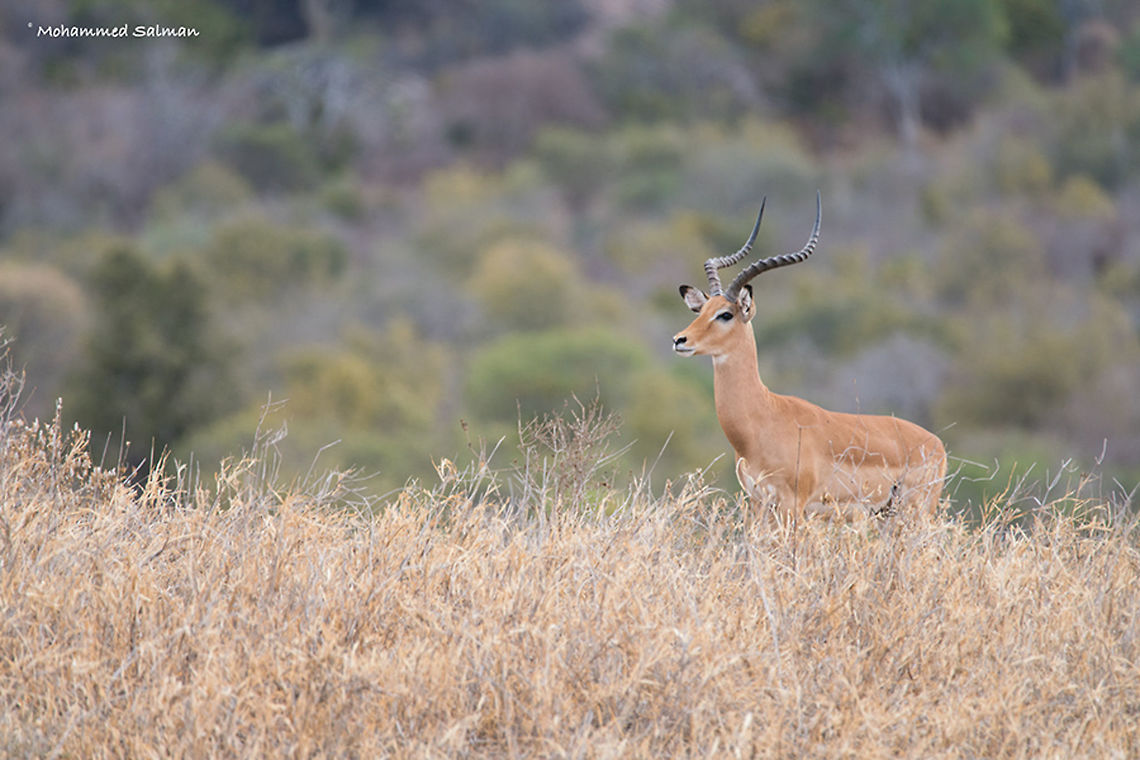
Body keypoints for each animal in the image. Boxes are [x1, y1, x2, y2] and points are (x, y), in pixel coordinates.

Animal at [672, 193, 946, 523]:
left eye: (725, 314)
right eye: (701, 311)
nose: (679, 340)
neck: (764, 415)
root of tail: (937, 444)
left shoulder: (793, 504)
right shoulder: (758, 502)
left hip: (914, 512)